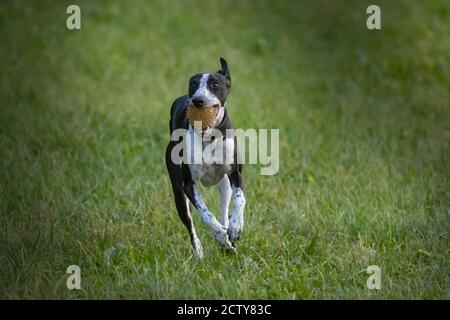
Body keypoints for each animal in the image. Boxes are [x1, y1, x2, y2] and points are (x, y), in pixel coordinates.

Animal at [164, 58, 244, 260]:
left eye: (215, 84)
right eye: (193, 84)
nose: (198, 100)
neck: (209, 137)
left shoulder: (236, 173)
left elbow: (240, 199)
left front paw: (236, 227)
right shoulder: (187, 185)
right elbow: (205, 214)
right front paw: (220, 235)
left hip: (224, 183)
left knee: (225, 207)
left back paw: (229, 236)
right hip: (178, 193)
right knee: (190, 224)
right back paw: (201, 250)